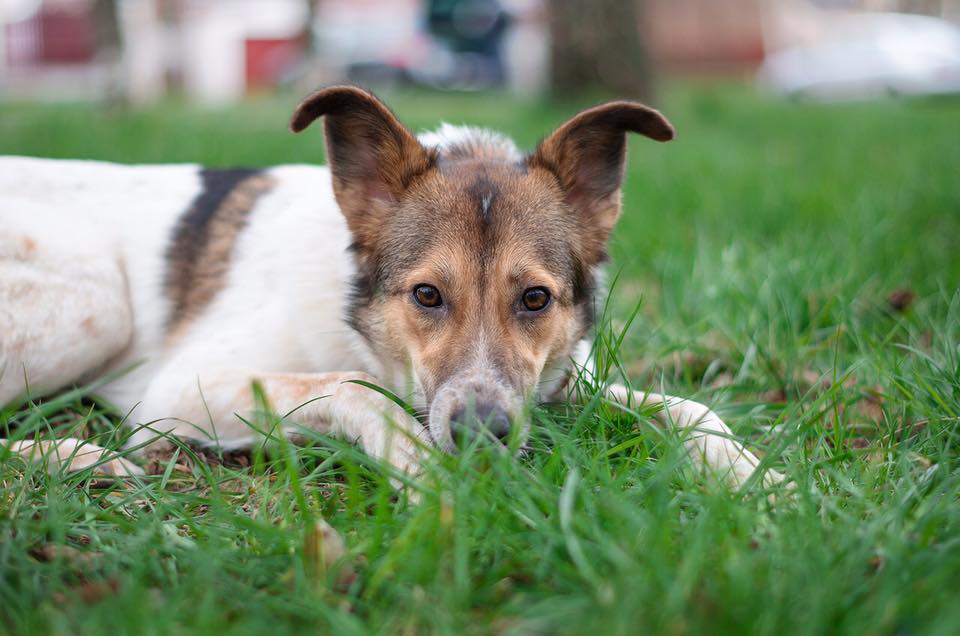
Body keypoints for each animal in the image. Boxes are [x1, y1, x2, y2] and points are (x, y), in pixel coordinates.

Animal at [0, 87, 780, 490]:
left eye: (535, 299)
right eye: (427, 296)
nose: (482, 435)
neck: (361, 325)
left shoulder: (558, 385)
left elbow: (686, 406)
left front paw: (759, 480)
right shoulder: (182, 389)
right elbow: (351, 385)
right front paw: (415, 459)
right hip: (97, 302)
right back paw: (73, 457)